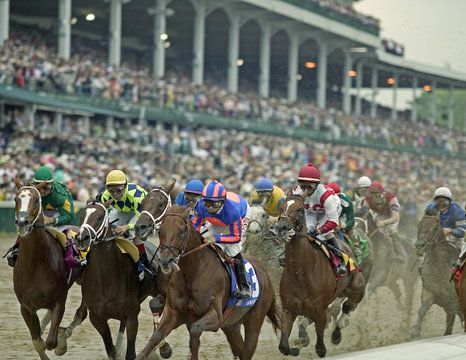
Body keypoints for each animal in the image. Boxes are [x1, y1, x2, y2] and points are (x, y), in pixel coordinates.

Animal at [13, 180, 86, 360]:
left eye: (36, 200)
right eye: (16, 199)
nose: (22, 223)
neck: (35, 264)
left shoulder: (59, 300)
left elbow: (51, 341)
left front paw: (60, 344)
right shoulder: (26, 307)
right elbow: (38, 342)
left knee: (82, 312)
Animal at [75, 200, 172, 360]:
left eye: (100, 217)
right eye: (82, 215)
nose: (82, 238)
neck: (106, 280)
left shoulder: (132, 313)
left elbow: (130, 354)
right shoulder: (96, 318)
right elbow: (111, 351)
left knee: (159, 306)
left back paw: (160, 347)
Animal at [136, 205, 280, 360]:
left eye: (182, 231)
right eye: (160, 230)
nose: (165, 261)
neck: (192, 274)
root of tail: (265, 273)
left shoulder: (216, 317)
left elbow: (195, 330)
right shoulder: (174, 313)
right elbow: (154, 339)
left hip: (253, 323)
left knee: (247, 351)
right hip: (231, 326)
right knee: (240, 349)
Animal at [274, 194, 366, 358]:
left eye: (299, 209)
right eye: (281, 207)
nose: (281, 228)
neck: (301, 272)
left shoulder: (320, 310)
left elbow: (320, 348)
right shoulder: (288, 310)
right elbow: (283, 346)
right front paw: (296, 348)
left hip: (357, 290)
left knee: (347, 307)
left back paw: (336, 334)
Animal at [412, 207, 462, 338]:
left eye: (434, 228)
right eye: (419, 225)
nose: (420, 246)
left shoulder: (456, 301)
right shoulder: (429, 292)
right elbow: (421, 310)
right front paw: (415, 332)